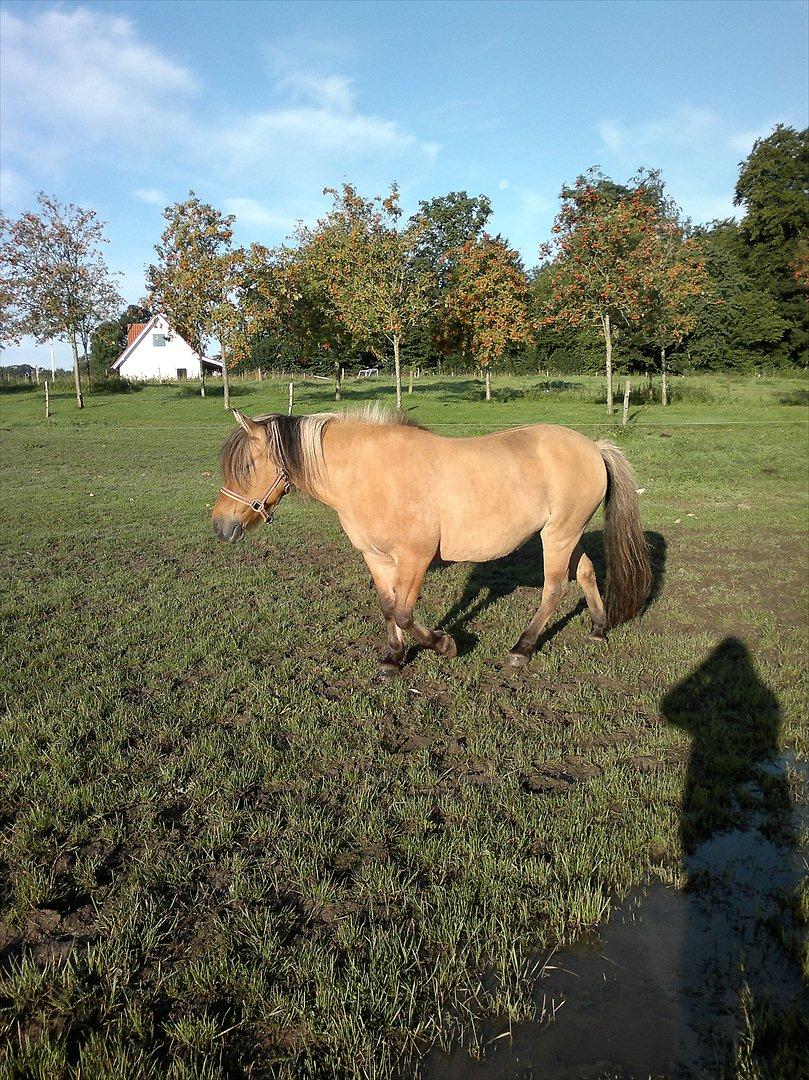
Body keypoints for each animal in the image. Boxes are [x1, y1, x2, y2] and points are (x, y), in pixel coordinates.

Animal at [211, 408, 652, 678]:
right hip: (565, 534)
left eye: (246, 465)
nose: (220, 527)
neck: (373, 472)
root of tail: (593, 447)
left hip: (558, 536)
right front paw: (393, 658)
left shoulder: (416, 557)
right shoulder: (376, 557)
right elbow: (388, 607)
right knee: (587, 573)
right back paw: (597, 629)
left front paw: (445, 644)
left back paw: (521, 650)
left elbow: (405, 613)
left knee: (555, 587)